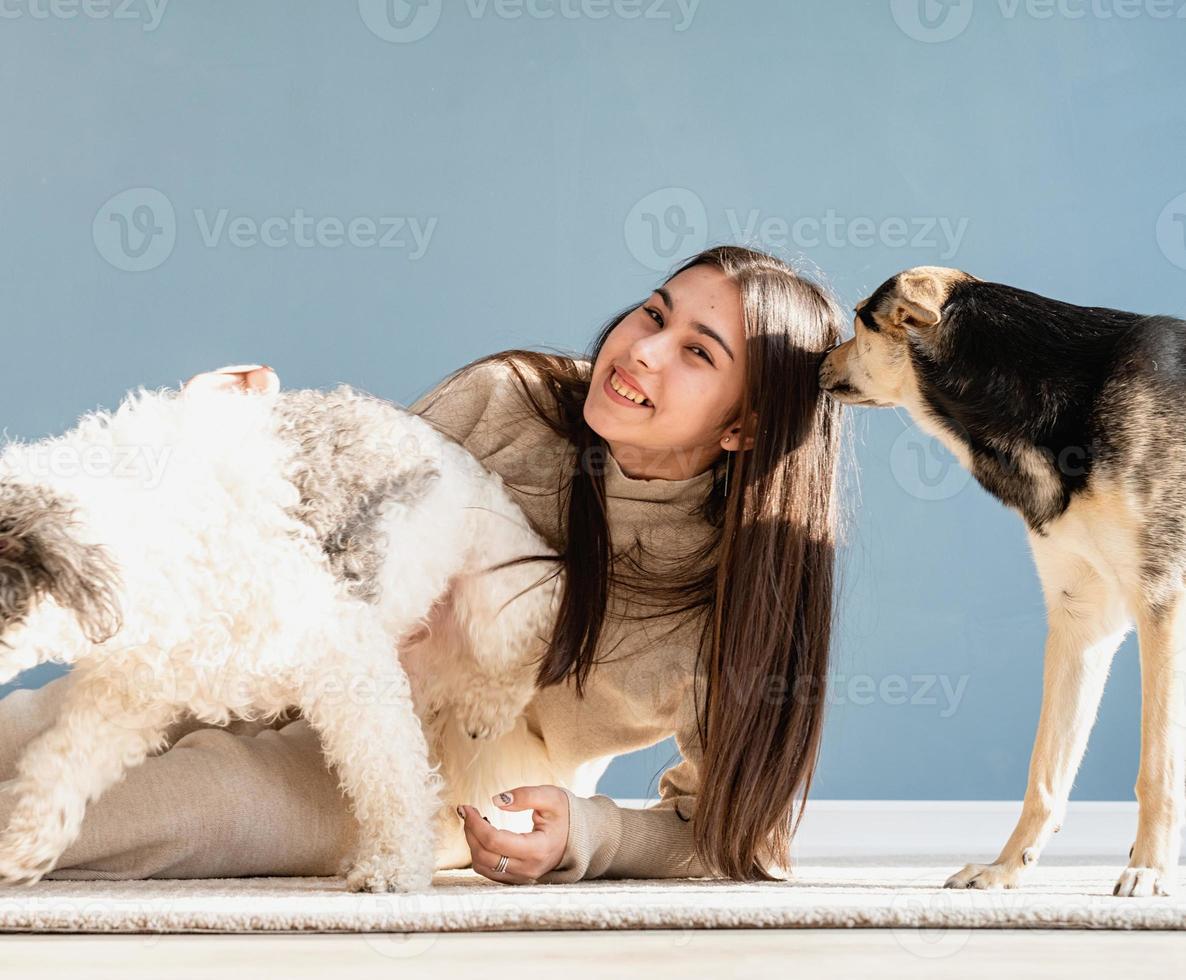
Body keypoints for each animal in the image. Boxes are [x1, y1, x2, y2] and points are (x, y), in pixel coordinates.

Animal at [0, 374, 559, 892]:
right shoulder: (128, 693)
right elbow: (59, 761)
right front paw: (23, 846)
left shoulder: (347, 660)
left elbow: (391, 777)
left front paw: (394, 867)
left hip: (496, 606)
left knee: (528, 647)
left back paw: (488, 709)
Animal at [820, 266, 1186, 892]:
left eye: (861, 322)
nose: (818, 360)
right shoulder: (1082, 620)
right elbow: (1046, 771)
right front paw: (1004, 870)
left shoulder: (1163, 604)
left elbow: (1157, 766)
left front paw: (1149, 870)